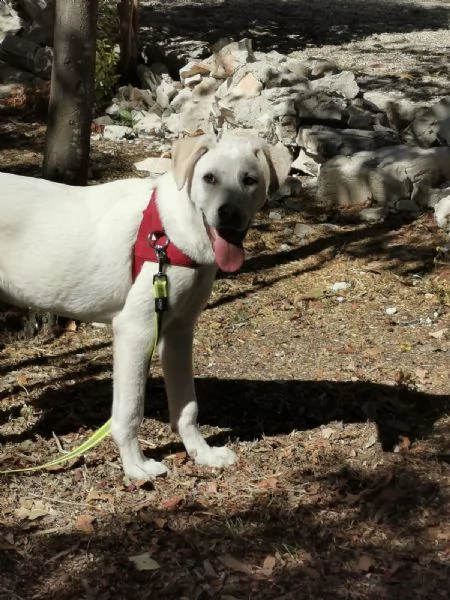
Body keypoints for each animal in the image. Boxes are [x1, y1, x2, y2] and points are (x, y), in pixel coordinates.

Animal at [0, 135, 290, 478]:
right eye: (209, 178)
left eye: (249, 180)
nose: (228, 214)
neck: (171, 233)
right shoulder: (136, 330)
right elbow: (129, 411)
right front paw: (135, 466)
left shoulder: (179, 331)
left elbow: (187, 407)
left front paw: (202, 453)